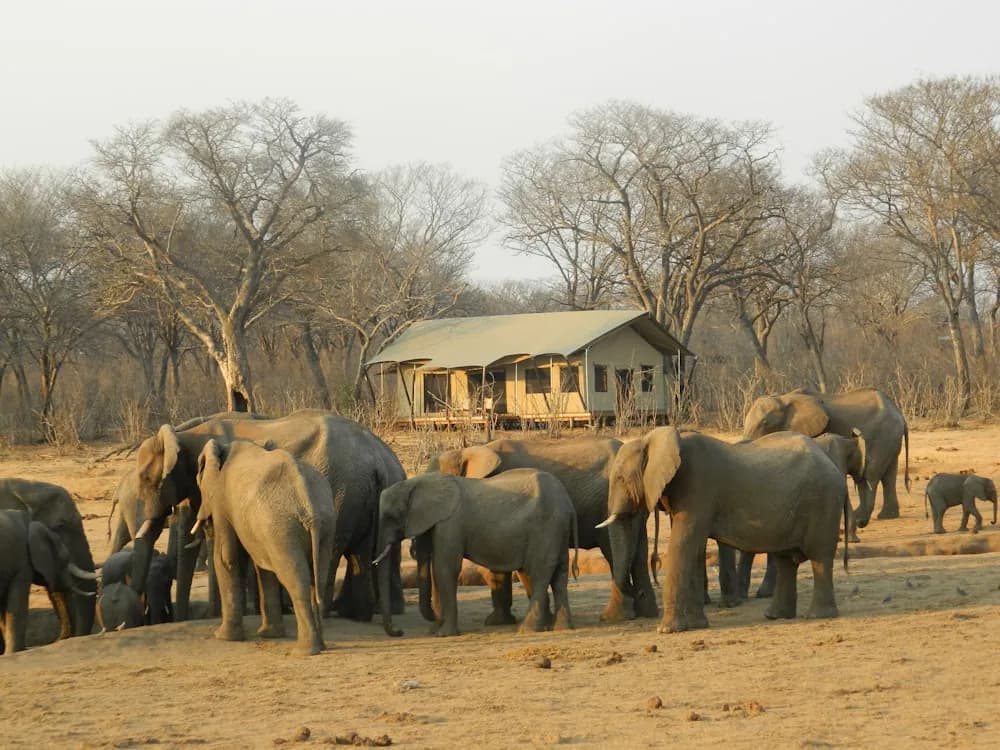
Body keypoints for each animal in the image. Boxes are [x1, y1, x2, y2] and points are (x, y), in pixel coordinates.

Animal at [130, 410, 405, 623]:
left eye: (147, 479)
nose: (178, 617)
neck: (184, 434)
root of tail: (379, 460)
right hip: (362, 495)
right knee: (361, 550)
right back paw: (358, 613)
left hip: (342, 492)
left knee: (333, 548)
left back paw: (325, 612)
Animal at [194, 438, 337, 656]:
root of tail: (308, 501)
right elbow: (262, 566)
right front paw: (269, 635)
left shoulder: (221, 500)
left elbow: (226, 557)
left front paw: (223, 637)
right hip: (322, 524)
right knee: (317, 577)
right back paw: (319, 646)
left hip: (282, 527)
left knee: (296, 580)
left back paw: (304, 651)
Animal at [376, 469, 578, 638]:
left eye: (391, 517)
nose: (399, 631)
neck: (417, 482)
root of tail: (569, 504)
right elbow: (435, 569)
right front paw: (435, 630)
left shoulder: (450, 524)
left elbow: (444, 568)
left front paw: (444, 634)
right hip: (557, 531)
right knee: (559, 575)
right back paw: (561, 627)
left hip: (546, 528)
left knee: (539, 573)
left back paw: (526, 630)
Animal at [601, 427, 848, 633]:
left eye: (621, 478)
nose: (640, 592)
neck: (653, 440)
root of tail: (833, 466)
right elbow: (695, 550)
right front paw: (697, 626)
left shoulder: (698, 487)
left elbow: (683, 545)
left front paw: (667, 630)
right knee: (787, 560)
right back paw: (775, 616)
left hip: (823, 502)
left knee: (819, 557)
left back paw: (817, 615)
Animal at [743, 388, 909, 527]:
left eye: (765, 423)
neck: (783, 398)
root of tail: (899, 413)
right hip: (890, 439)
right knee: (889, 475)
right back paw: (887, 516)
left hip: (881, 436)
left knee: (869, 476)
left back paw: (860, 520)